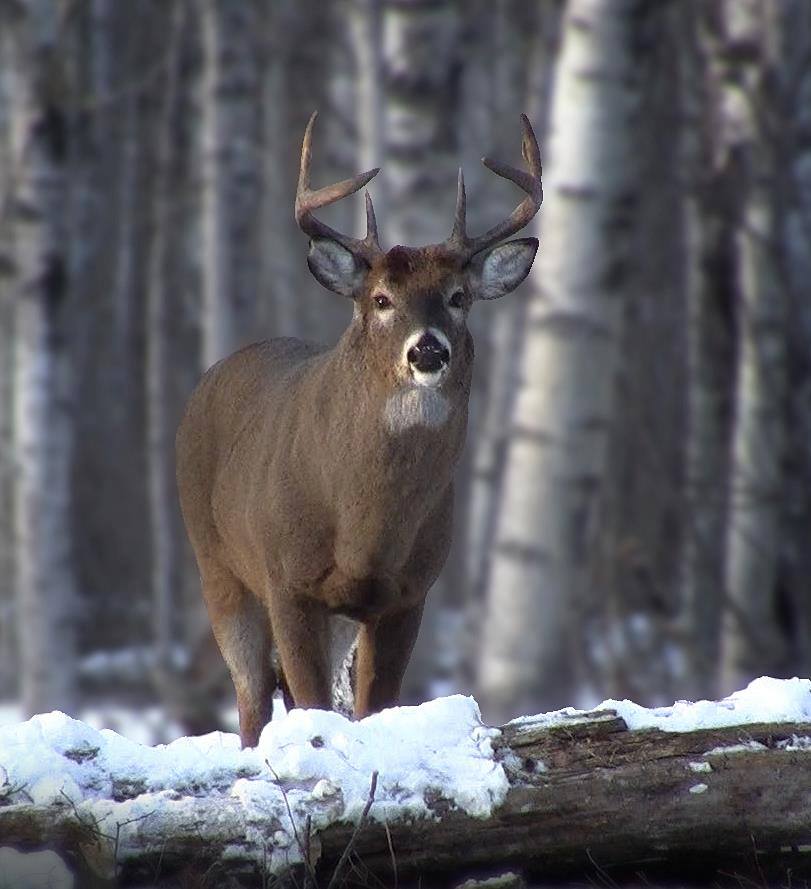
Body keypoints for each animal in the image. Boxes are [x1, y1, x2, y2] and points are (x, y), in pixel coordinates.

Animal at [178, 112, 544, 748]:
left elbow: (376, 706)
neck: (364, 526)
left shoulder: (407, 593)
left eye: (458, 297)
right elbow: (310, 701)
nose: (428, 349)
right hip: (216, 564)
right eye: (380, 299)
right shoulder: (287, 580)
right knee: (252, 698)